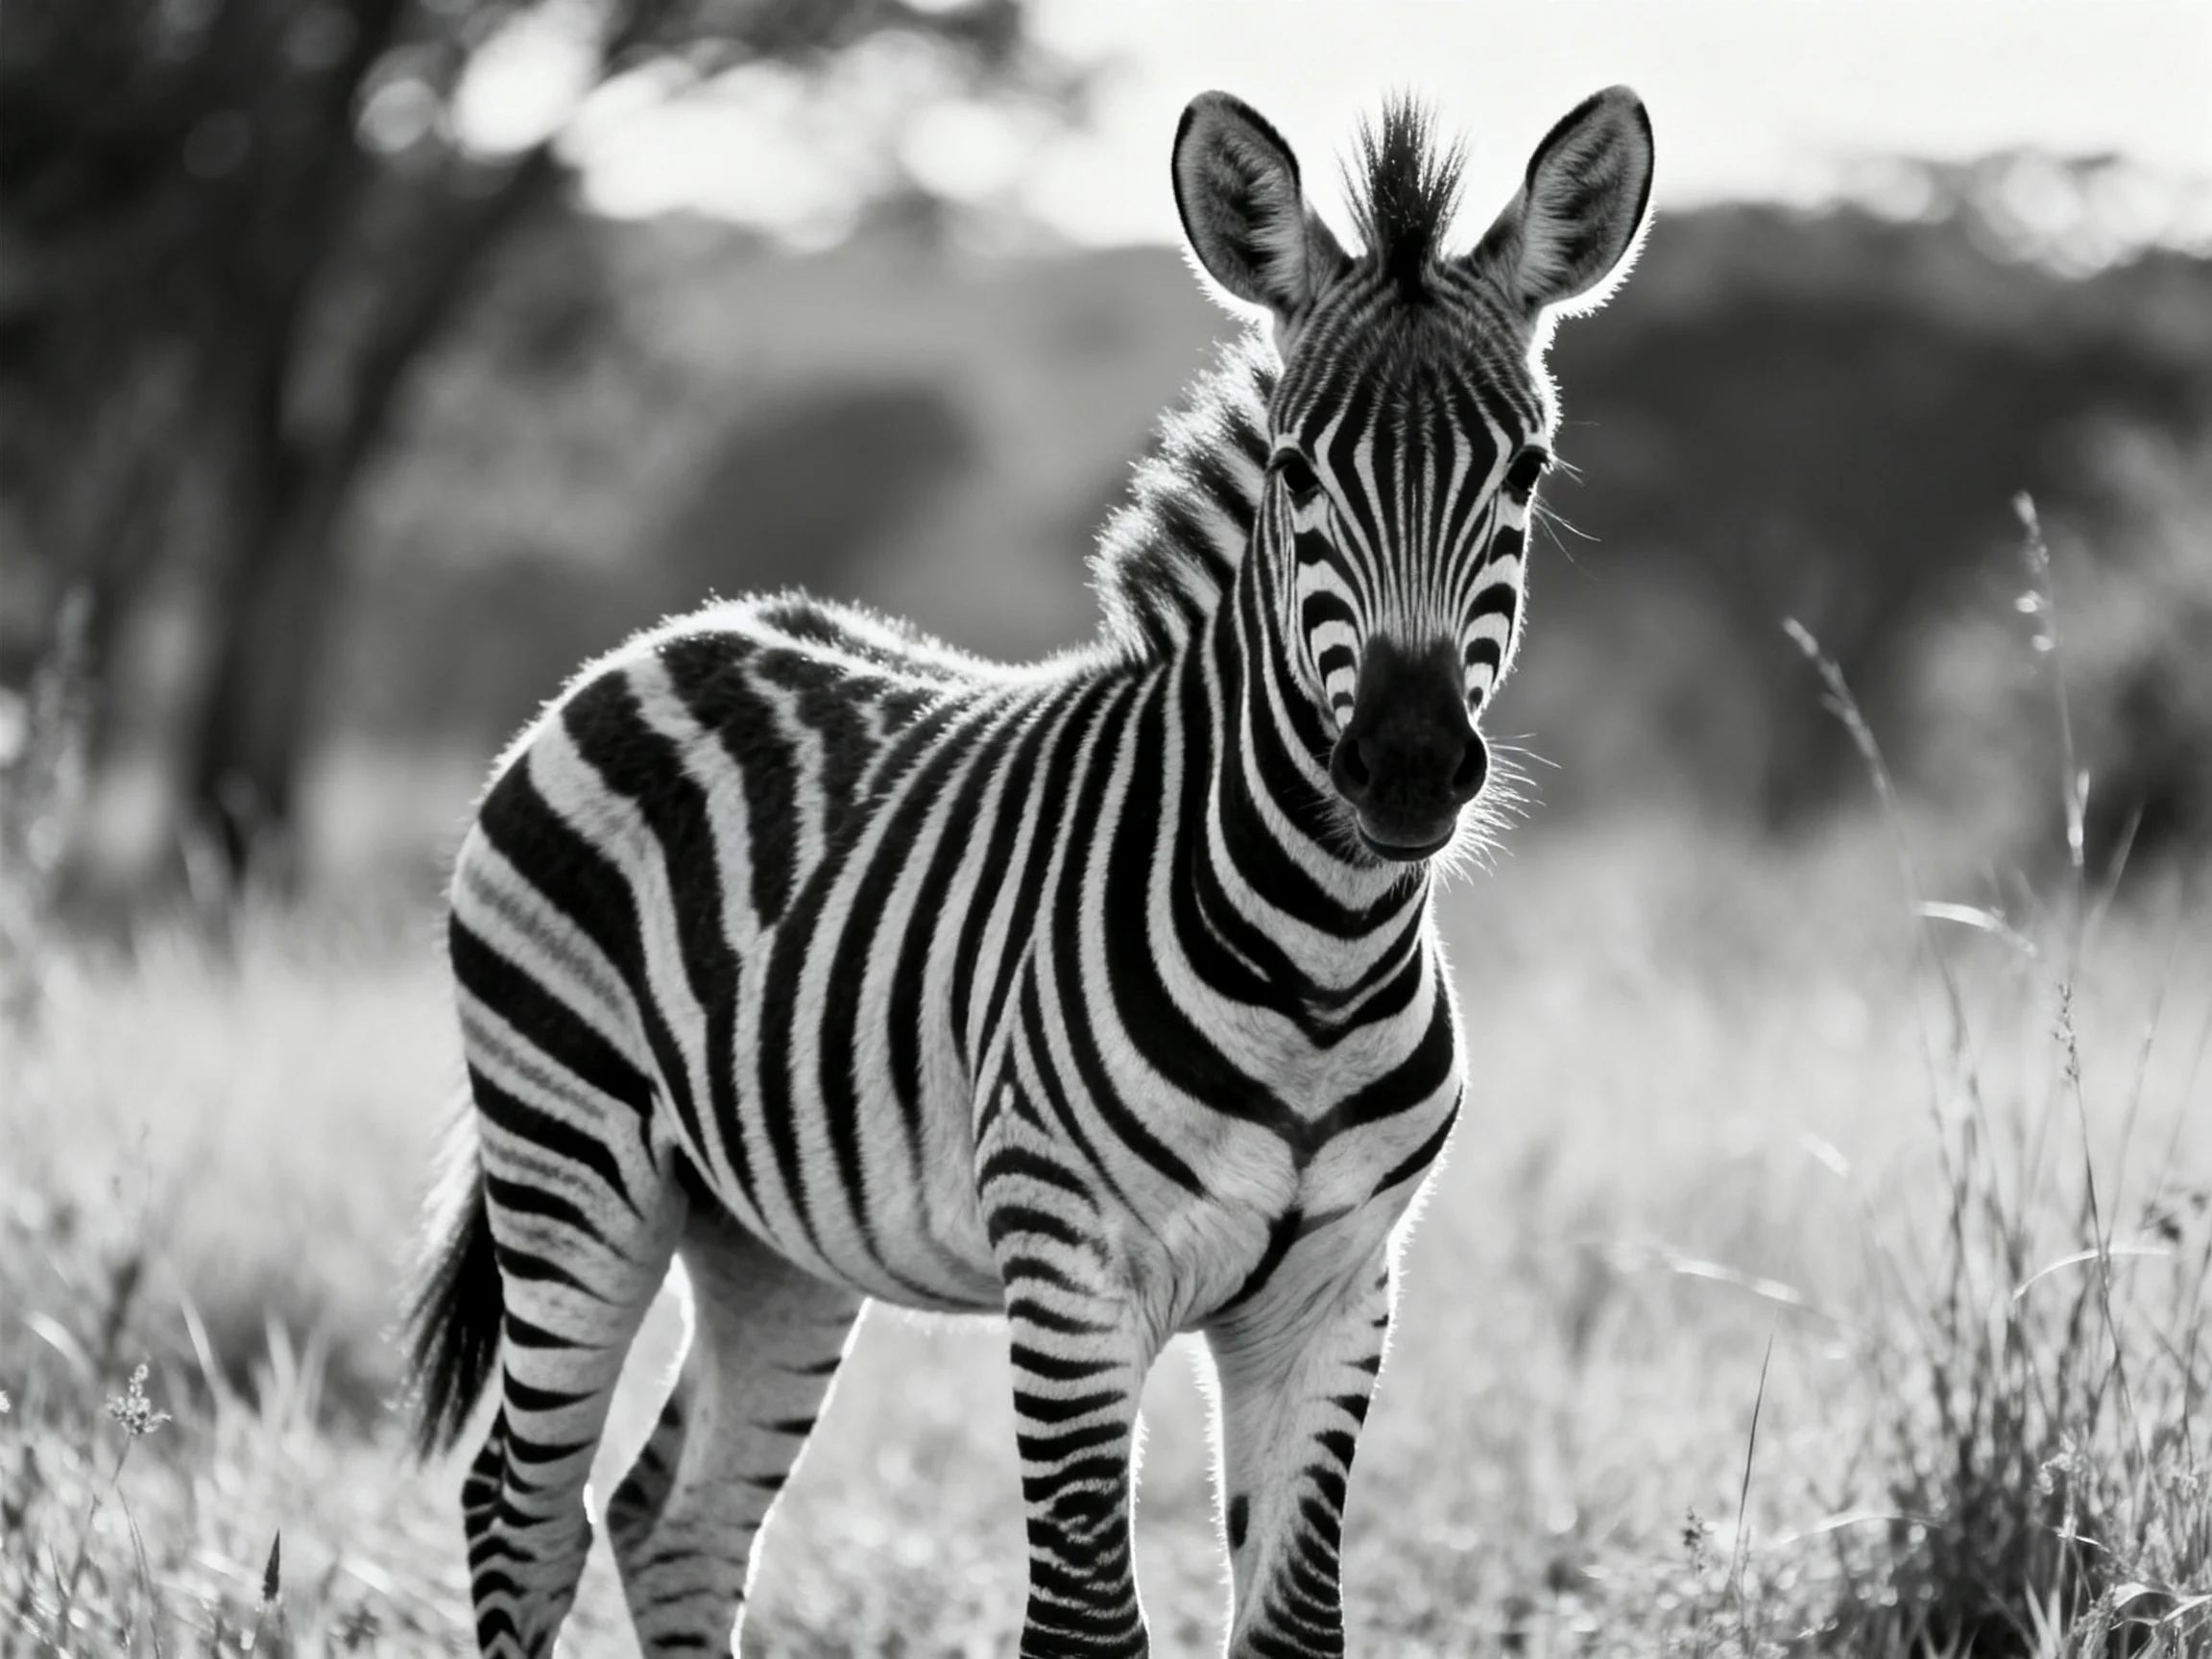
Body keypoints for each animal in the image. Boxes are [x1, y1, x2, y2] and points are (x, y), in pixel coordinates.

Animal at [406, 85, 1653, 1658]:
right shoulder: (1068, 1277)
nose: (1410, 767)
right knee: (521, 1509)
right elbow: (1085, 1624)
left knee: (671, 1517)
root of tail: (655, 647)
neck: (1318, 961)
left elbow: (1294, 1625)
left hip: (763, 1236)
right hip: (570, 1167)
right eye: (1297, 469)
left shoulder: (1337, 1297)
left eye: (1527, 470)